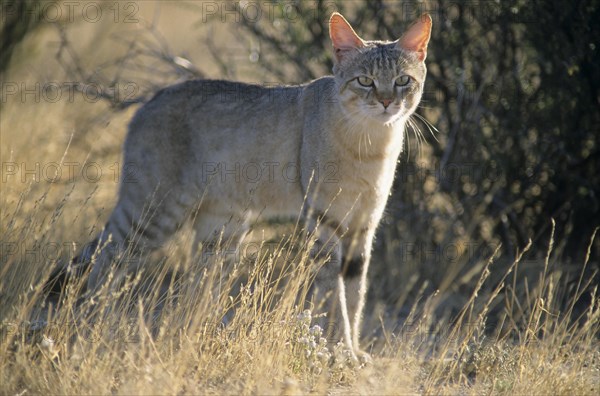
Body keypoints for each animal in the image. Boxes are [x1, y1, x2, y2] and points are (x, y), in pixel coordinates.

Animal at [59, 13, 432, 358]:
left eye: (403, 80)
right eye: (365, 81)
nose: (386, 102)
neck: (371, 145)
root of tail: (149, 100)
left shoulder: (363, 226)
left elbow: (355, 296)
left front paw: (353, 350)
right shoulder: (326, 223)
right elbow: (333, 296)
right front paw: (340, 353)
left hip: (220, 230)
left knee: (196, 285)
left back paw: (201, 335)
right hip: (154, 211)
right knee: (106, 258)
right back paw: (97, 326)